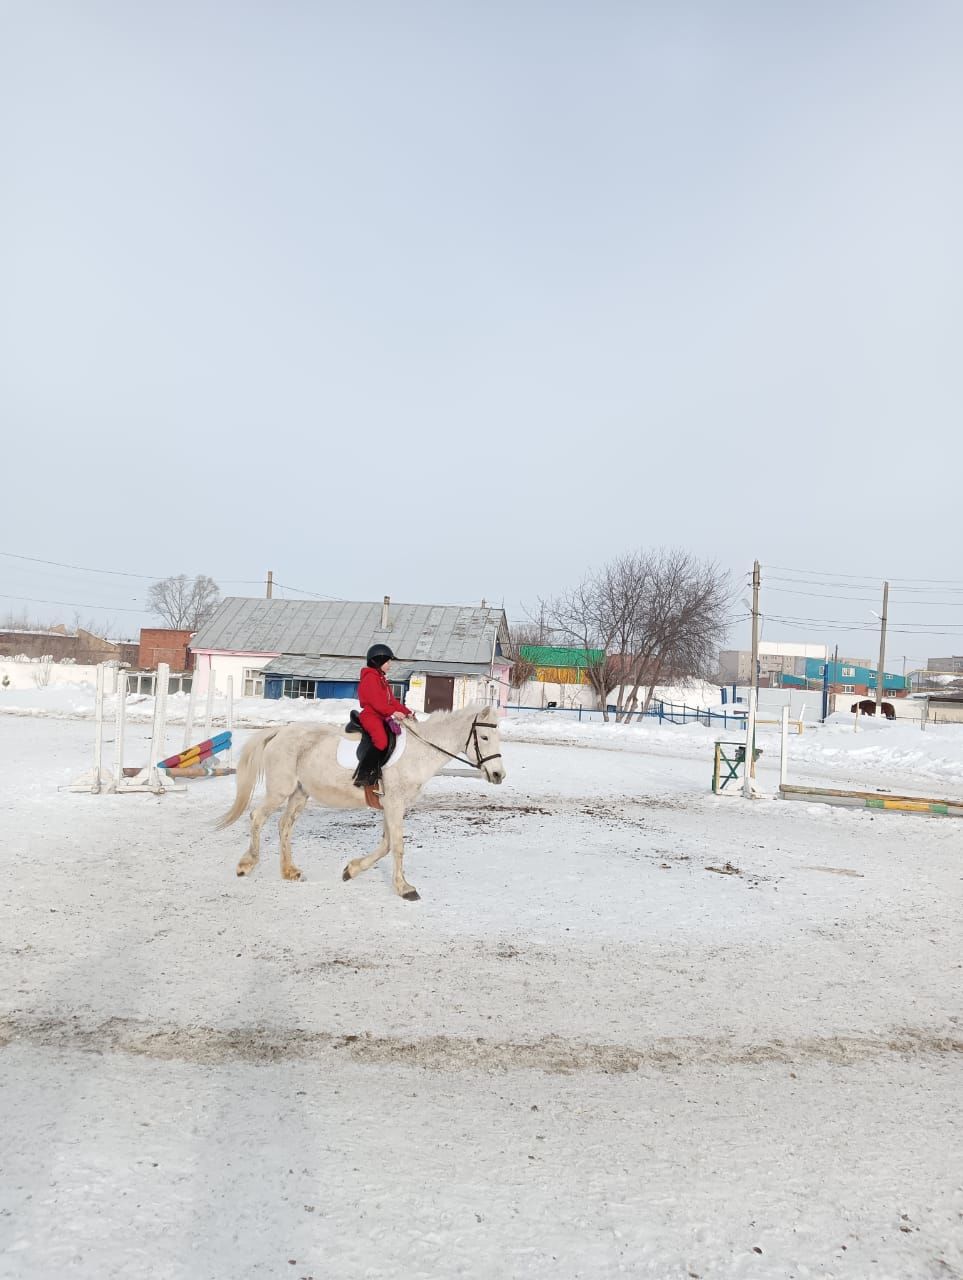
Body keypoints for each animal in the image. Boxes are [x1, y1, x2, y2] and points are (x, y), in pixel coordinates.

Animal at [217, 701, 504, 901]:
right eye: (485, 738)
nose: (499, 775)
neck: (419, 752)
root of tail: (280, 732)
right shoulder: (394, 804)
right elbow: (397, 846)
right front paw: (404, 888)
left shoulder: (391, 806)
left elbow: (386, 845)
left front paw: (352, 870)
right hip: (280, 790)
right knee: (257, 817)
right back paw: (246, 865)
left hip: (300, 793)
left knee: (284, 826)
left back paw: (290, 871)